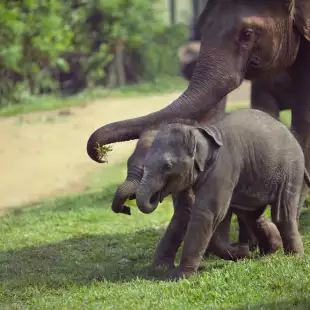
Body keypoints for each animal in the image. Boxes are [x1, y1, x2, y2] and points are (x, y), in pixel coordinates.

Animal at [136, 109, 310, 280]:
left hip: (291, 170)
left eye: (167, 166)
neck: (201, 132)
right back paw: (270, 250)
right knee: (251, 215)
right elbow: (187, 212)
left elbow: (209, 213)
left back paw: (293, 257)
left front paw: (180, 277)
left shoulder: (223, 167)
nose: (155, 197)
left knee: (282, 214)